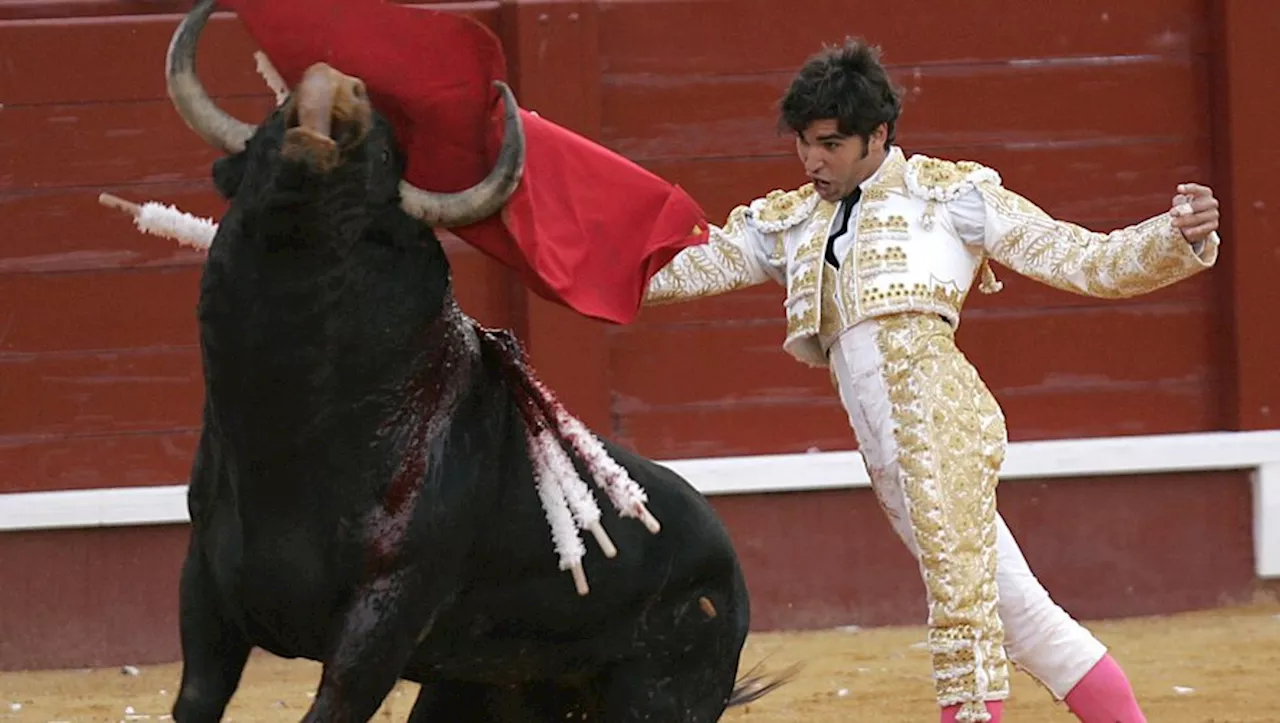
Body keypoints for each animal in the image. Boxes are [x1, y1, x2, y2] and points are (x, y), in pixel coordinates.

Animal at [153, 1, 783, 721]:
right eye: (270, 122)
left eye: (385, 154)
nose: (337, 83)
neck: (289, 434)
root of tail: (730, 567)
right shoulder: (204, 587)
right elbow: (196, 699)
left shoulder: (386, 613)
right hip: (471, 687)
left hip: (662, 697)